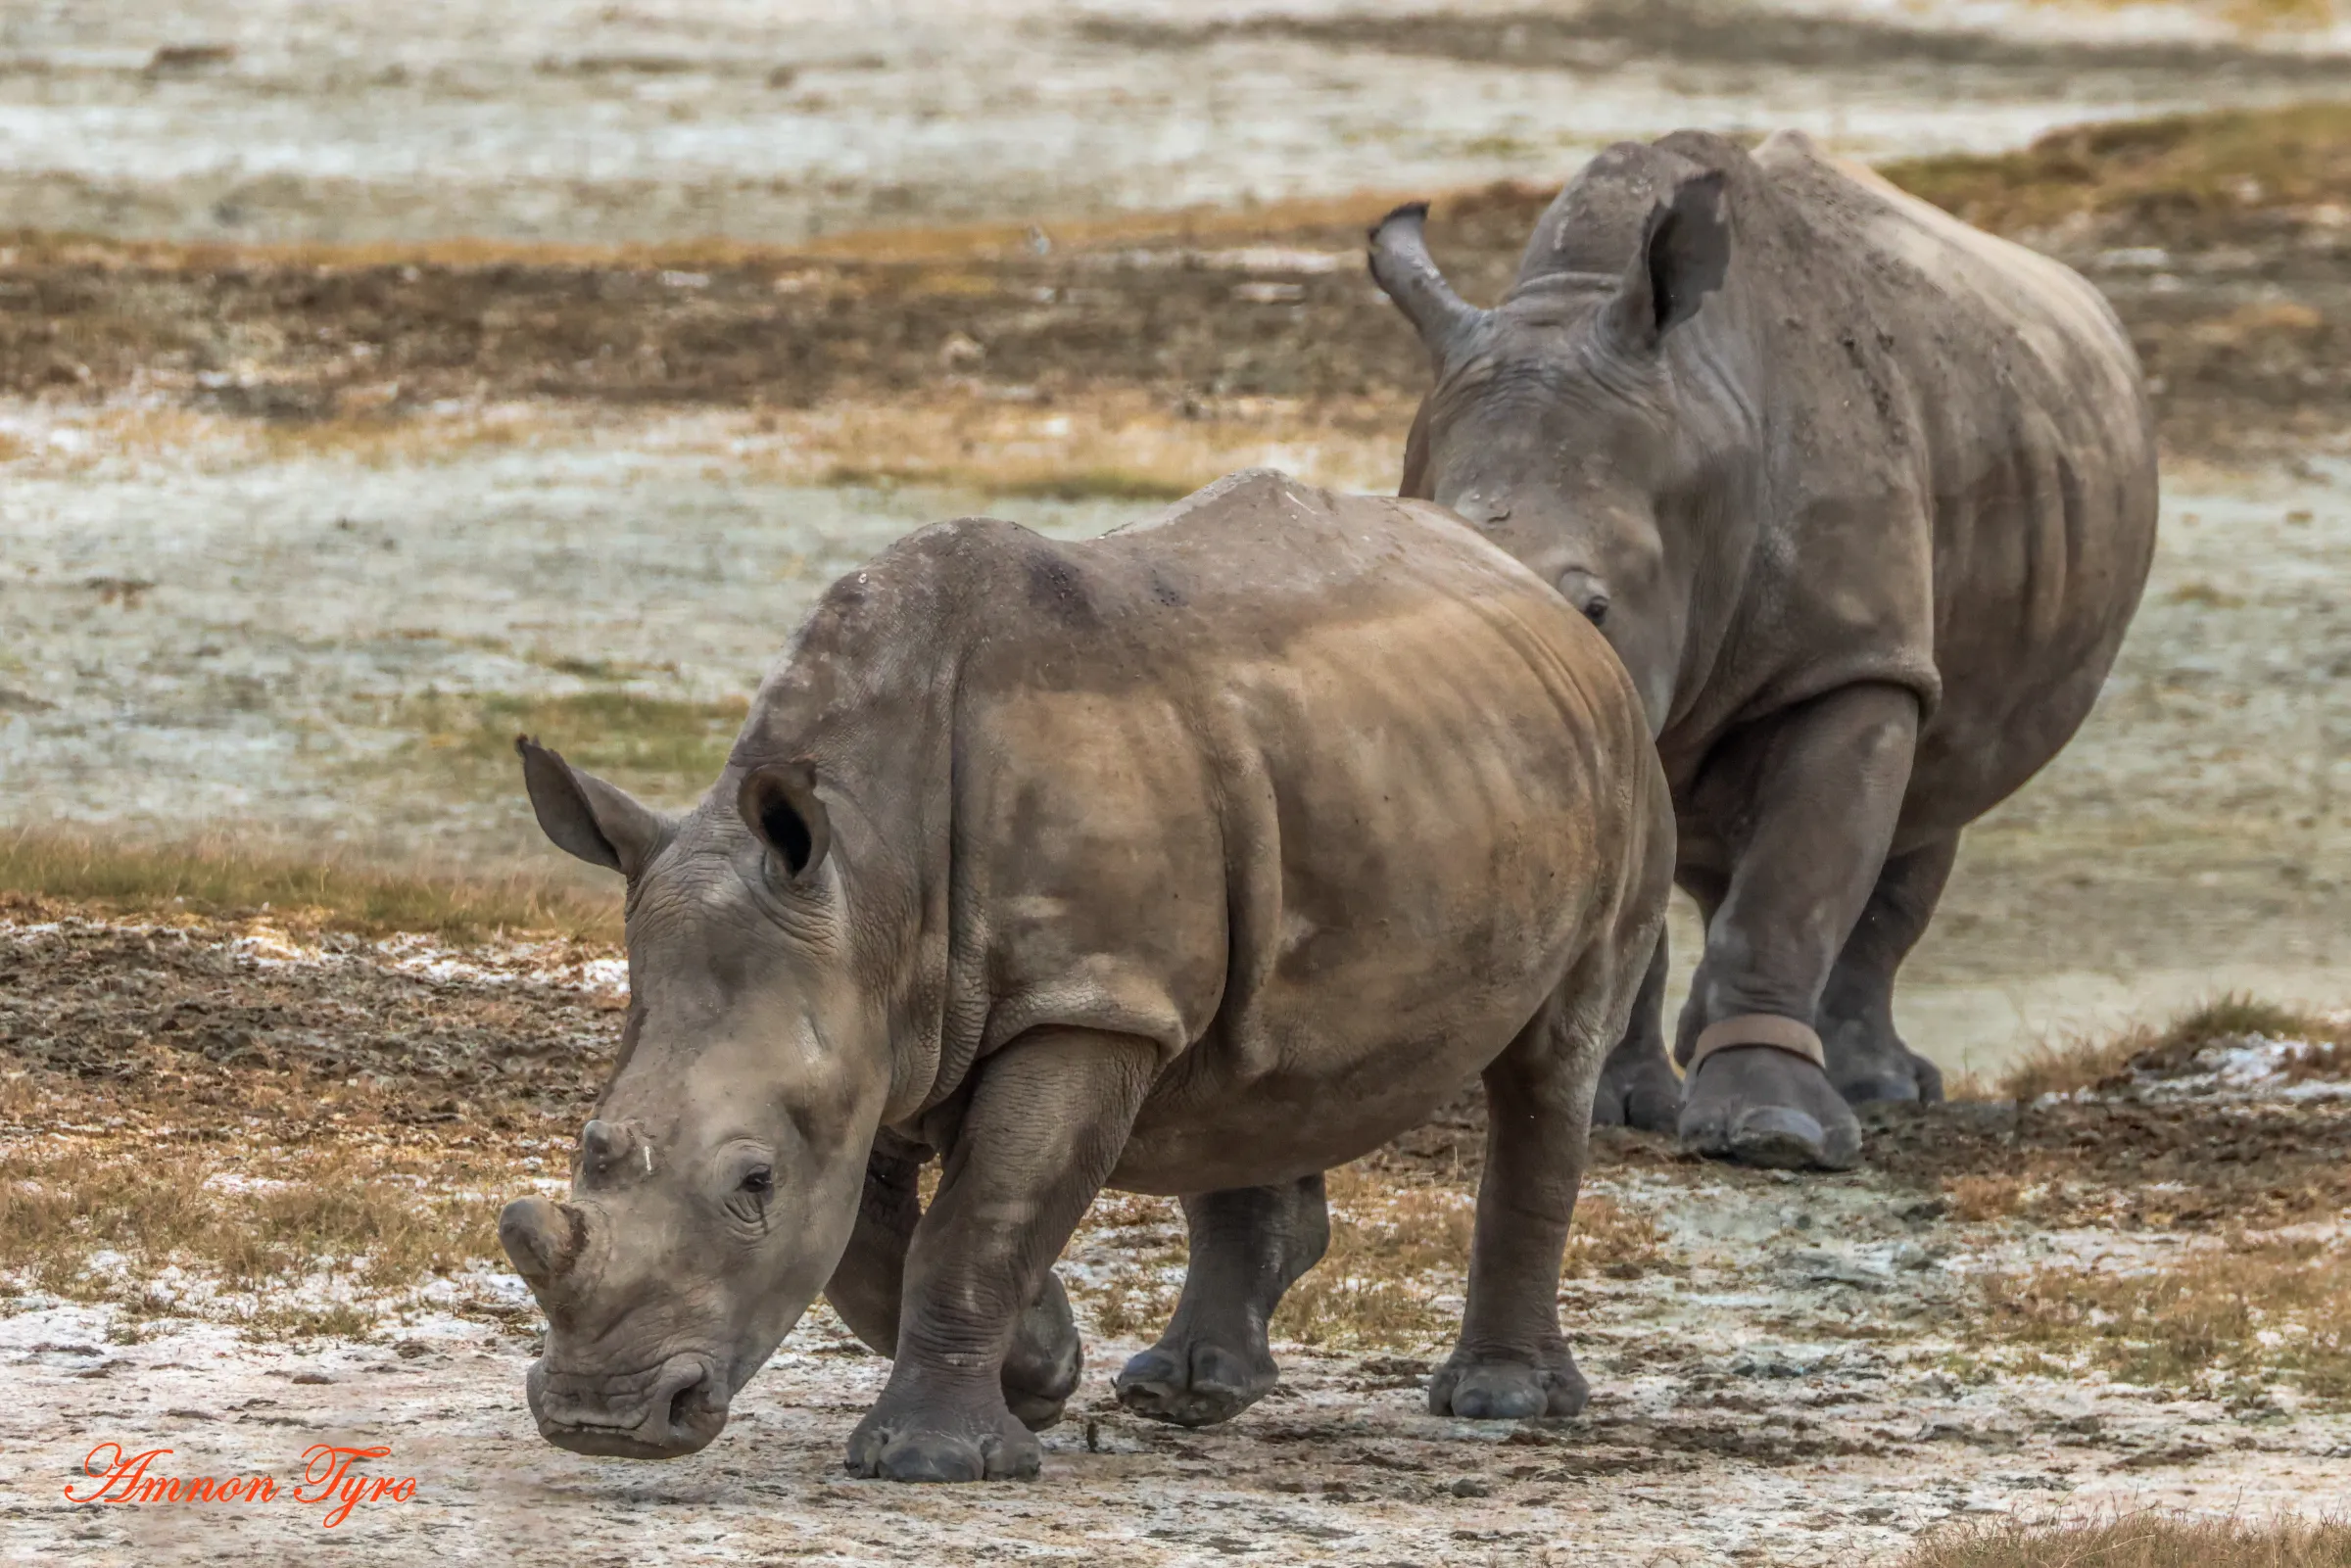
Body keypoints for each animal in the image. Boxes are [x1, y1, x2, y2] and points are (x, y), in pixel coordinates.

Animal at [497, 471, 1671, 1481]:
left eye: (753, 1182)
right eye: (593, 1147)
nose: (601, 1419)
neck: (870, 878)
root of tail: (1547, 600)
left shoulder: (1088, 1002)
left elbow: (980, 1217)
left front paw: (935, 1460)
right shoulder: (874, 1014)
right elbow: (877, 1243)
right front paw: (1044, 1369)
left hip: (1614, 762)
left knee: (1552, 1061)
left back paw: (1500, 1402)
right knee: (1256, 1058)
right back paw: (1189, 1393)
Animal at [1367, 128, 2158, 1171]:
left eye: (1596, 606)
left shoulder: (1852, 658)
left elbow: (1793, 882)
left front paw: (1776, 1135)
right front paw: (1616, 1107)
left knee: (1927, 798)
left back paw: (1879, 1088)